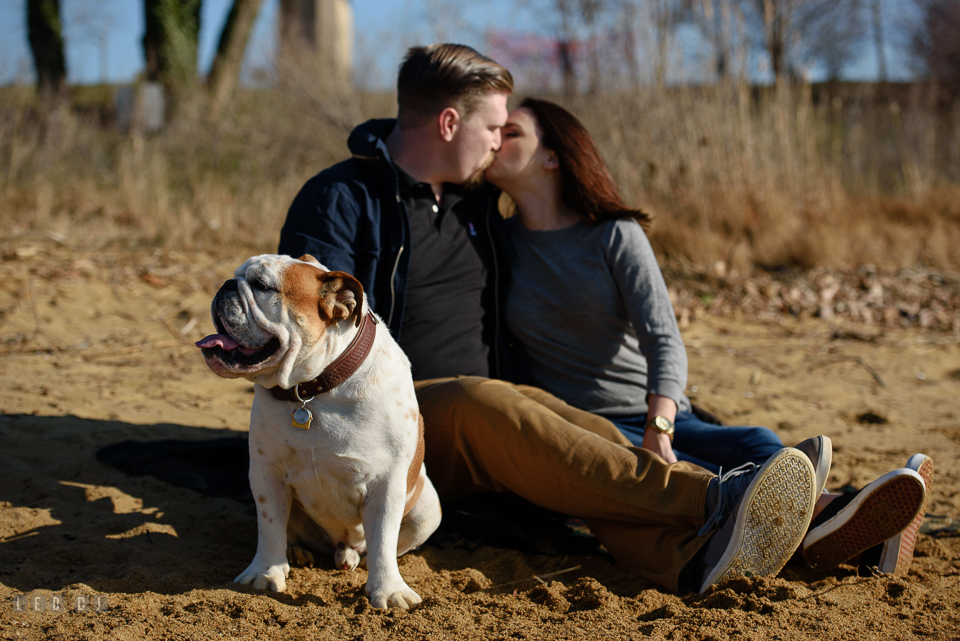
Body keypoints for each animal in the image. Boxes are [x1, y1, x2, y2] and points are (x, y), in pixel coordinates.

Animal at [196, 252, 442, 608]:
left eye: (261, 285)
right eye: (237, 275)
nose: (227, 285)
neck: (314, 388)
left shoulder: (387, 483)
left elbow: (384, 539)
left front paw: (388, 589)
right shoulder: (267, 473)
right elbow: (270, 526)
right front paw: (265, 573)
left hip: (428, 508)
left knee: (384, 545)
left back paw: (358, 559)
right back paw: (297, 553)